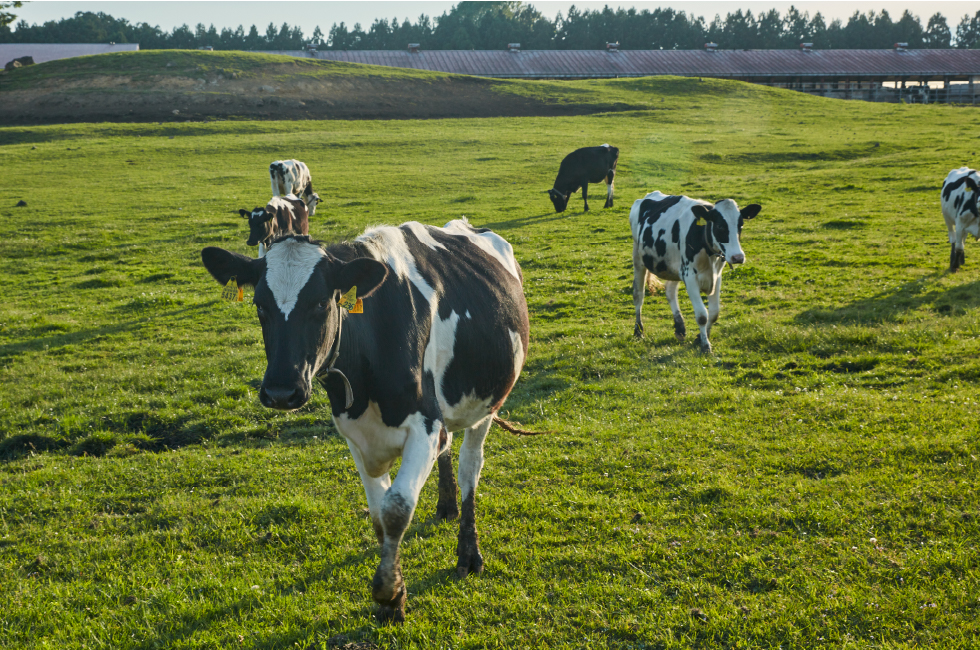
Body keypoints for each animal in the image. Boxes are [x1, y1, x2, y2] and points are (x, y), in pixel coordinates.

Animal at [201, 220, 536, 620]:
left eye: (321, 303)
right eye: (259, 305)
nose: (281, 391)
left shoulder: (425, 425)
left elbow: (396, 508)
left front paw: (388, 591)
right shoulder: (356, 434)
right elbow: (378, 513)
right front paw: (394, 595)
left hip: (487, 401)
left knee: (470, 465)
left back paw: (468, 554)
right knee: (449, 450)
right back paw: (446, 507)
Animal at [628, 190, 764, 352]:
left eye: (740, 225)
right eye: (720, 226)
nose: (738, 257)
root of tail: (649, 195)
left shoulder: (716, 276)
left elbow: (714, 313)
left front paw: (701, 337)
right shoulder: (690, 277)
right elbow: (702, 315)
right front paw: (705, 345)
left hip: (674, 265)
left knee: (670, 291)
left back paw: (680, 327)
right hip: (638, 257)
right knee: (638, 295)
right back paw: (638, 331)